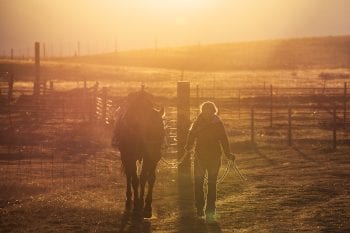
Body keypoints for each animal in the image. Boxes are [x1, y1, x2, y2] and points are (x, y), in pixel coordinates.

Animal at [113, 90, 166, 218]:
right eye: (150, 126)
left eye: (161, 128)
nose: (156, 148)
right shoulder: (130, 157)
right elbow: (135, 179)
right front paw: (137, 204)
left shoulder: (151, 158)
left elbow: (147, 178)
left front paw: (146, 204)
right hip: (125, 157)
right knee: (129, 176)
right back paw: (129, 200)